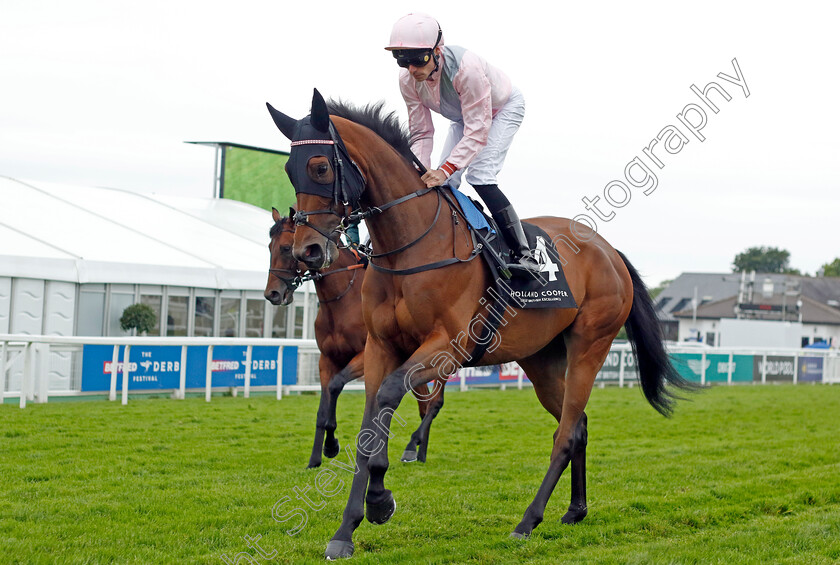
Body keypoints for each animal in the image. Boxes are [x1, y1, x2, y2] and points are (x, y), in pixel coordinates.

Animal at [266, 208, 442, 468]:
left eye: (286, 248)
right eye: (270, 247)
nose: (272, 294)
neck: (341, 301)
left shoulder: (364, 355)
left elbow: (336, 384)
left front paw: (331, 445)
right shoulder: (326, 360)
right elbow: (323, 405)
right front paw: (315, 458)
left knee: (435, 402)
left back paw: (414, 446)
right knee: (424, 402)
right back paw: (419, 452)